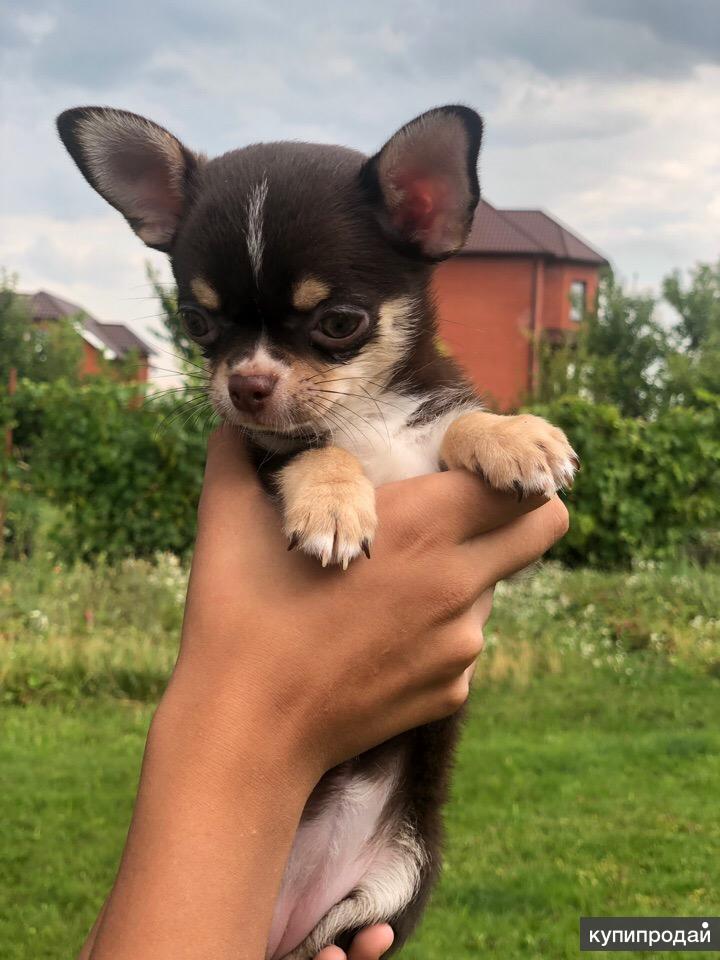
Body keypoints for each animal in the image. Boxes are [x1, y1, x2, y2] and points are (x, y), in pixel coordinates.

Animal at [57, 101, 580, 956]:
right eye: (197, 321)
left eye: (339, 322)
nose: (246, 383)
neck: (366, 414)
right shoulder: (259, 445)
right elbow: (308, 446)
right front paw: (335, 505)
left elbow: (457, 423)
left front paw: (513, 437)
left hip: (389, 884)